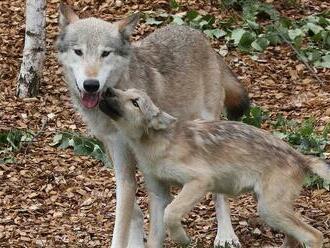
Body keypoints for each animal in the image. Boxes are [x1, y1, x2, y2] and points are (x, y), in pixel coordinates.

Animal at [56, 2, 248, 247]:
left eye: (105, 53)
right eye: (78, 52)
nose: (91, 84)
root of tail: (199, 36)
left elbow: (127, 225)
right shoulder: (117, 158)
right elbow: (133, 212)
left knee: (218, 192)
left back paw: (225, 235)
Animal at [98, 86, 328, 248]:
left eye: (135, 102)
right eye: (124, 90)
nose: (107, 89)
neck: (155, 143)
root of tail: (302, 158)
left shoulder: (200, 181)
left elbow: (171, 213)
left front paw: (182, 239)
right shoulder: (158, 193)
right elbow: (155, 237)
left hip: (269, 209)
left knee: (314, 235)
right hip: (270, 208)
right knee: (295, 238)